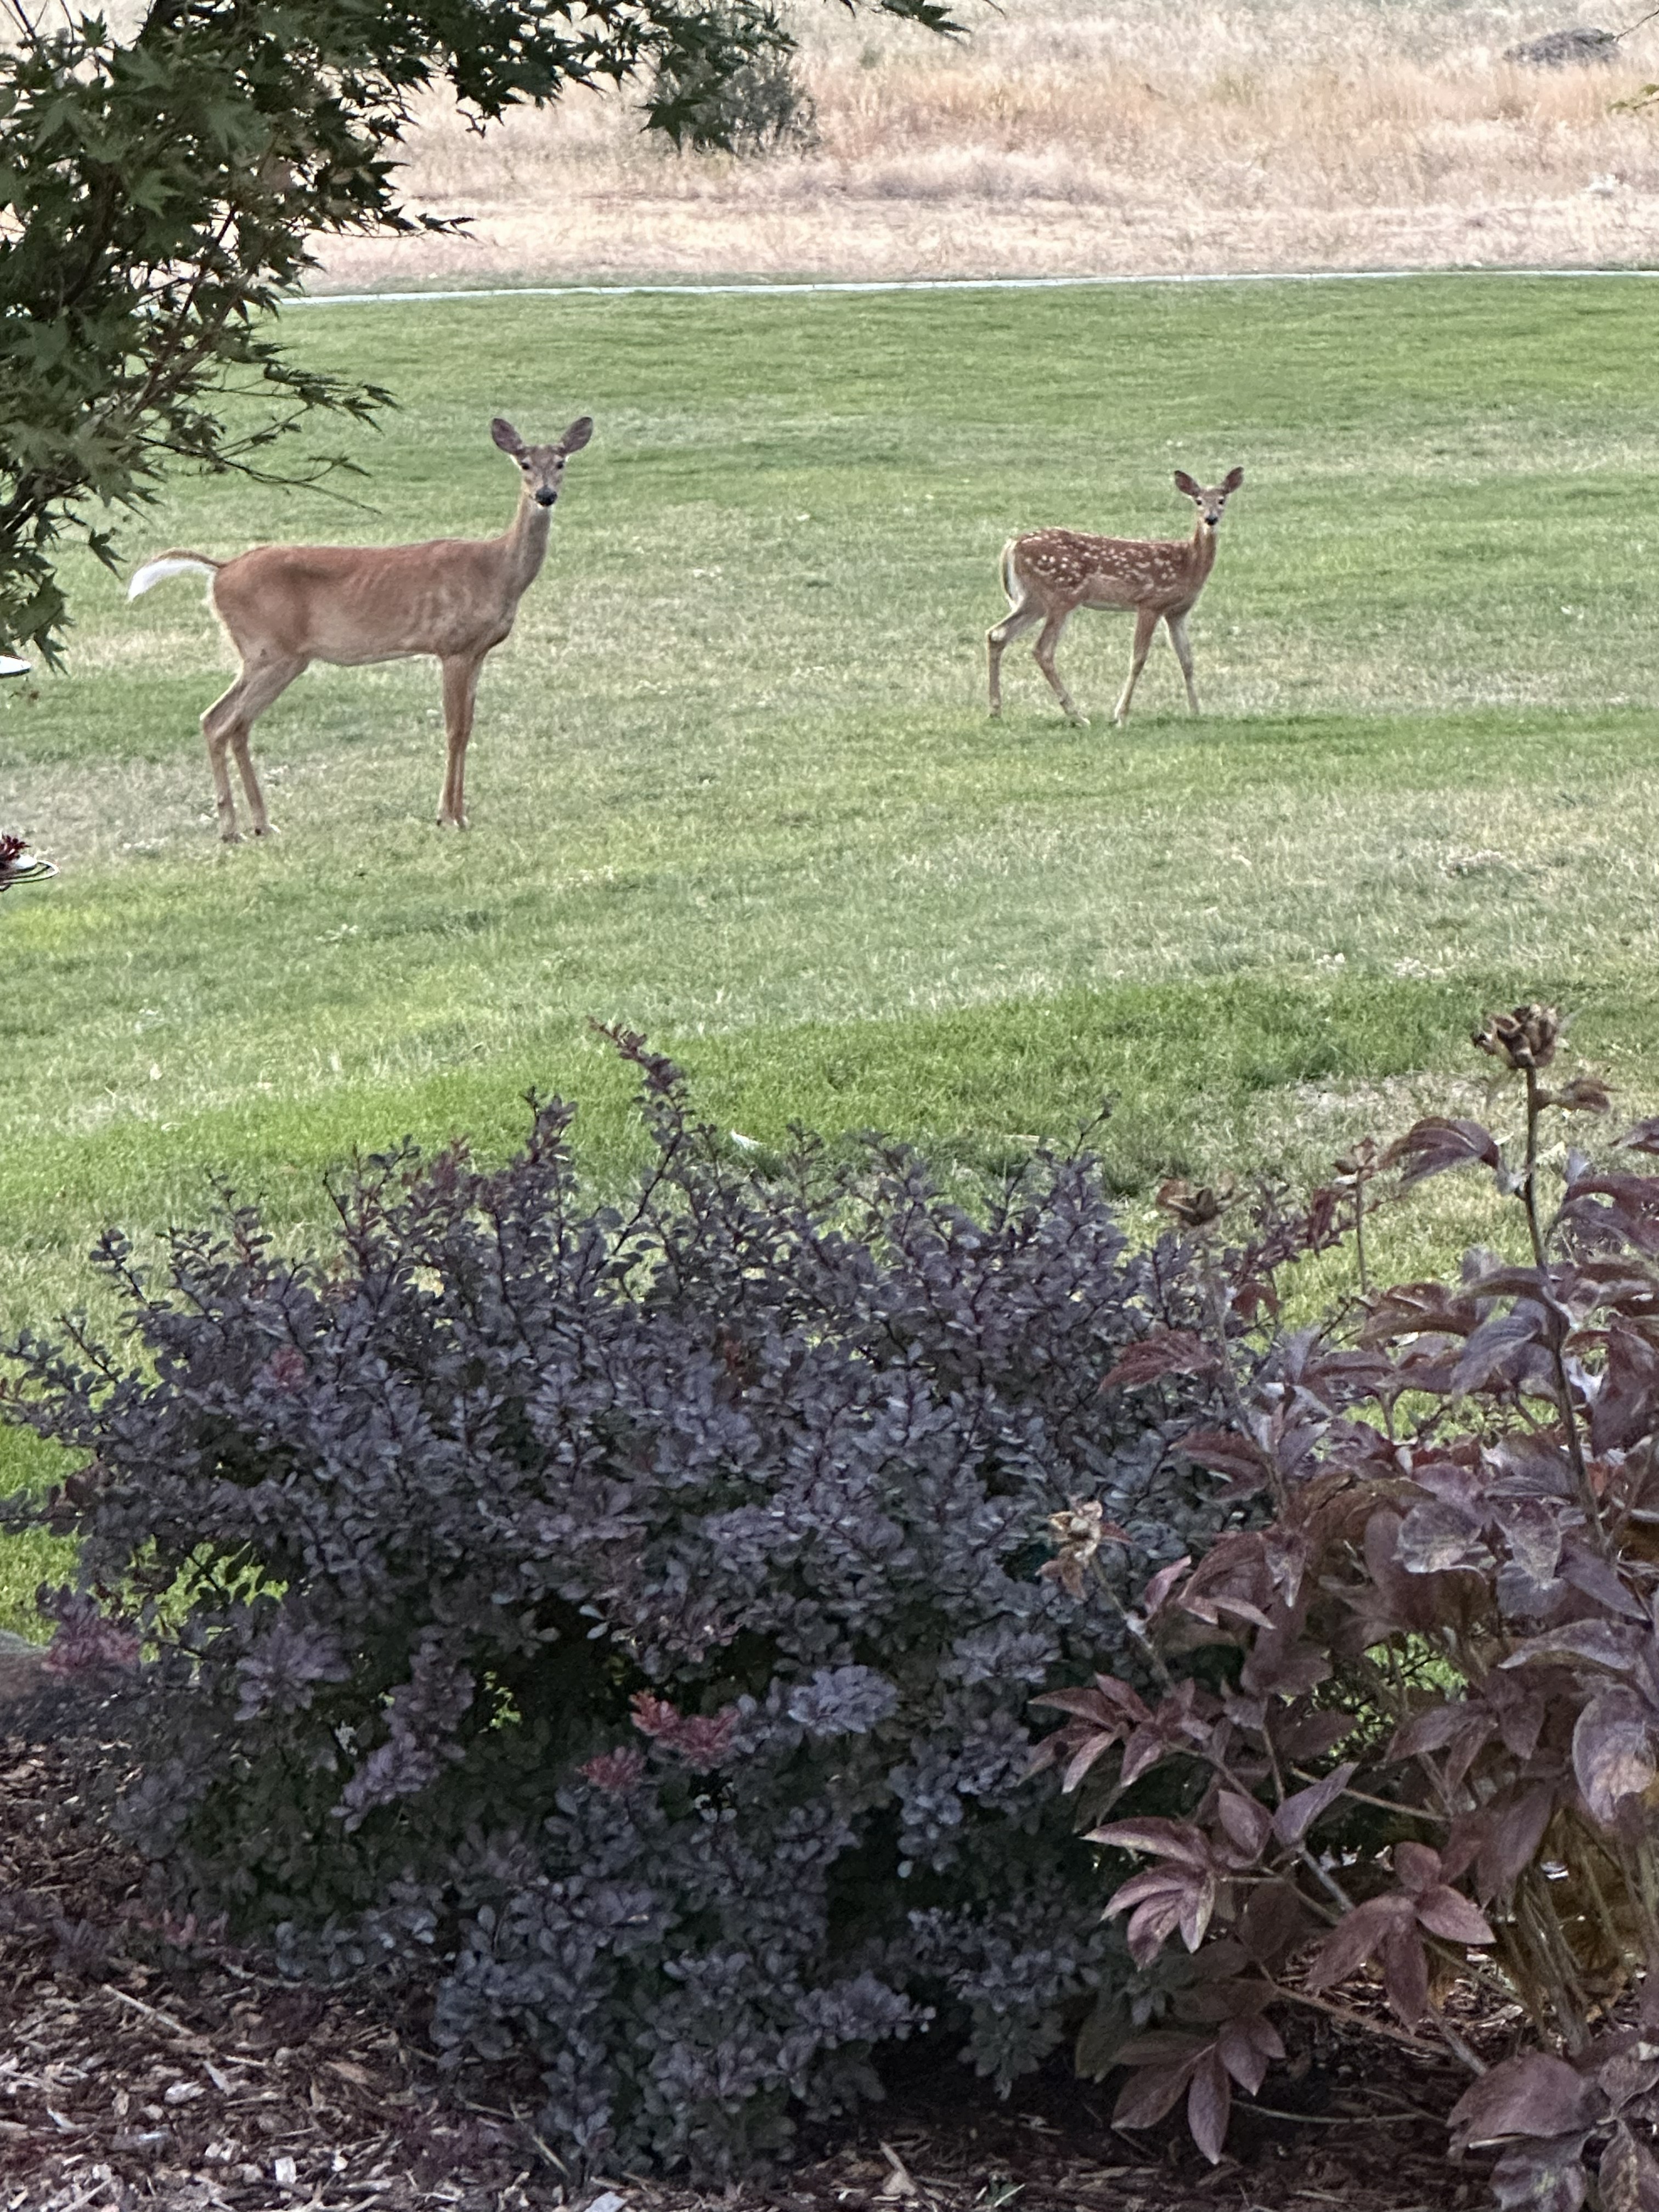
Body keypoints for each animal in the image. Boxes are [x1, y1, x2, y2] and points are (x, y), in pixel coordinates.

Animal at [127, 414, 594, 841]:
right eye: (524, 463)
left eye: (561, 462)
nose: (546, 495)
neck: (497, 571)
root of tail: (220, 571)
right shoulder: (453, 647)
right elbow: (454, 730)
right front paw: (450, 817)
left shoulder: (478, 651)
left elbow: (467, 728)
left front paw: (456, 813)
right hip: (272, 652)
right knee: (225, 722)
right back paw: (233, 828)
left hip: (267, 656)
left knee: (224, 721)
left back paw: (257, 824)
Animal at [988, 467, 1244, 730]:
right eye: (1198, 501)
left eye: (1222, 500)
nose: (1211, 519)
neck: (1189, 562)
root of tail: (1011, 546)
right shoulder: (1150, 603)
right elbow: (1138, 659)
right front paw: (1121, 715)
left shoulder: (1177, 613)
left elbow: (1187, 660)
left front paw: (1196, 712)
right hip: (1062, 595)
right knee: (1042, 650)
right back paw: (1077, 716)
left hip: (1034, 600)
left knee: (997, 634)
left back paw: (996, 710)